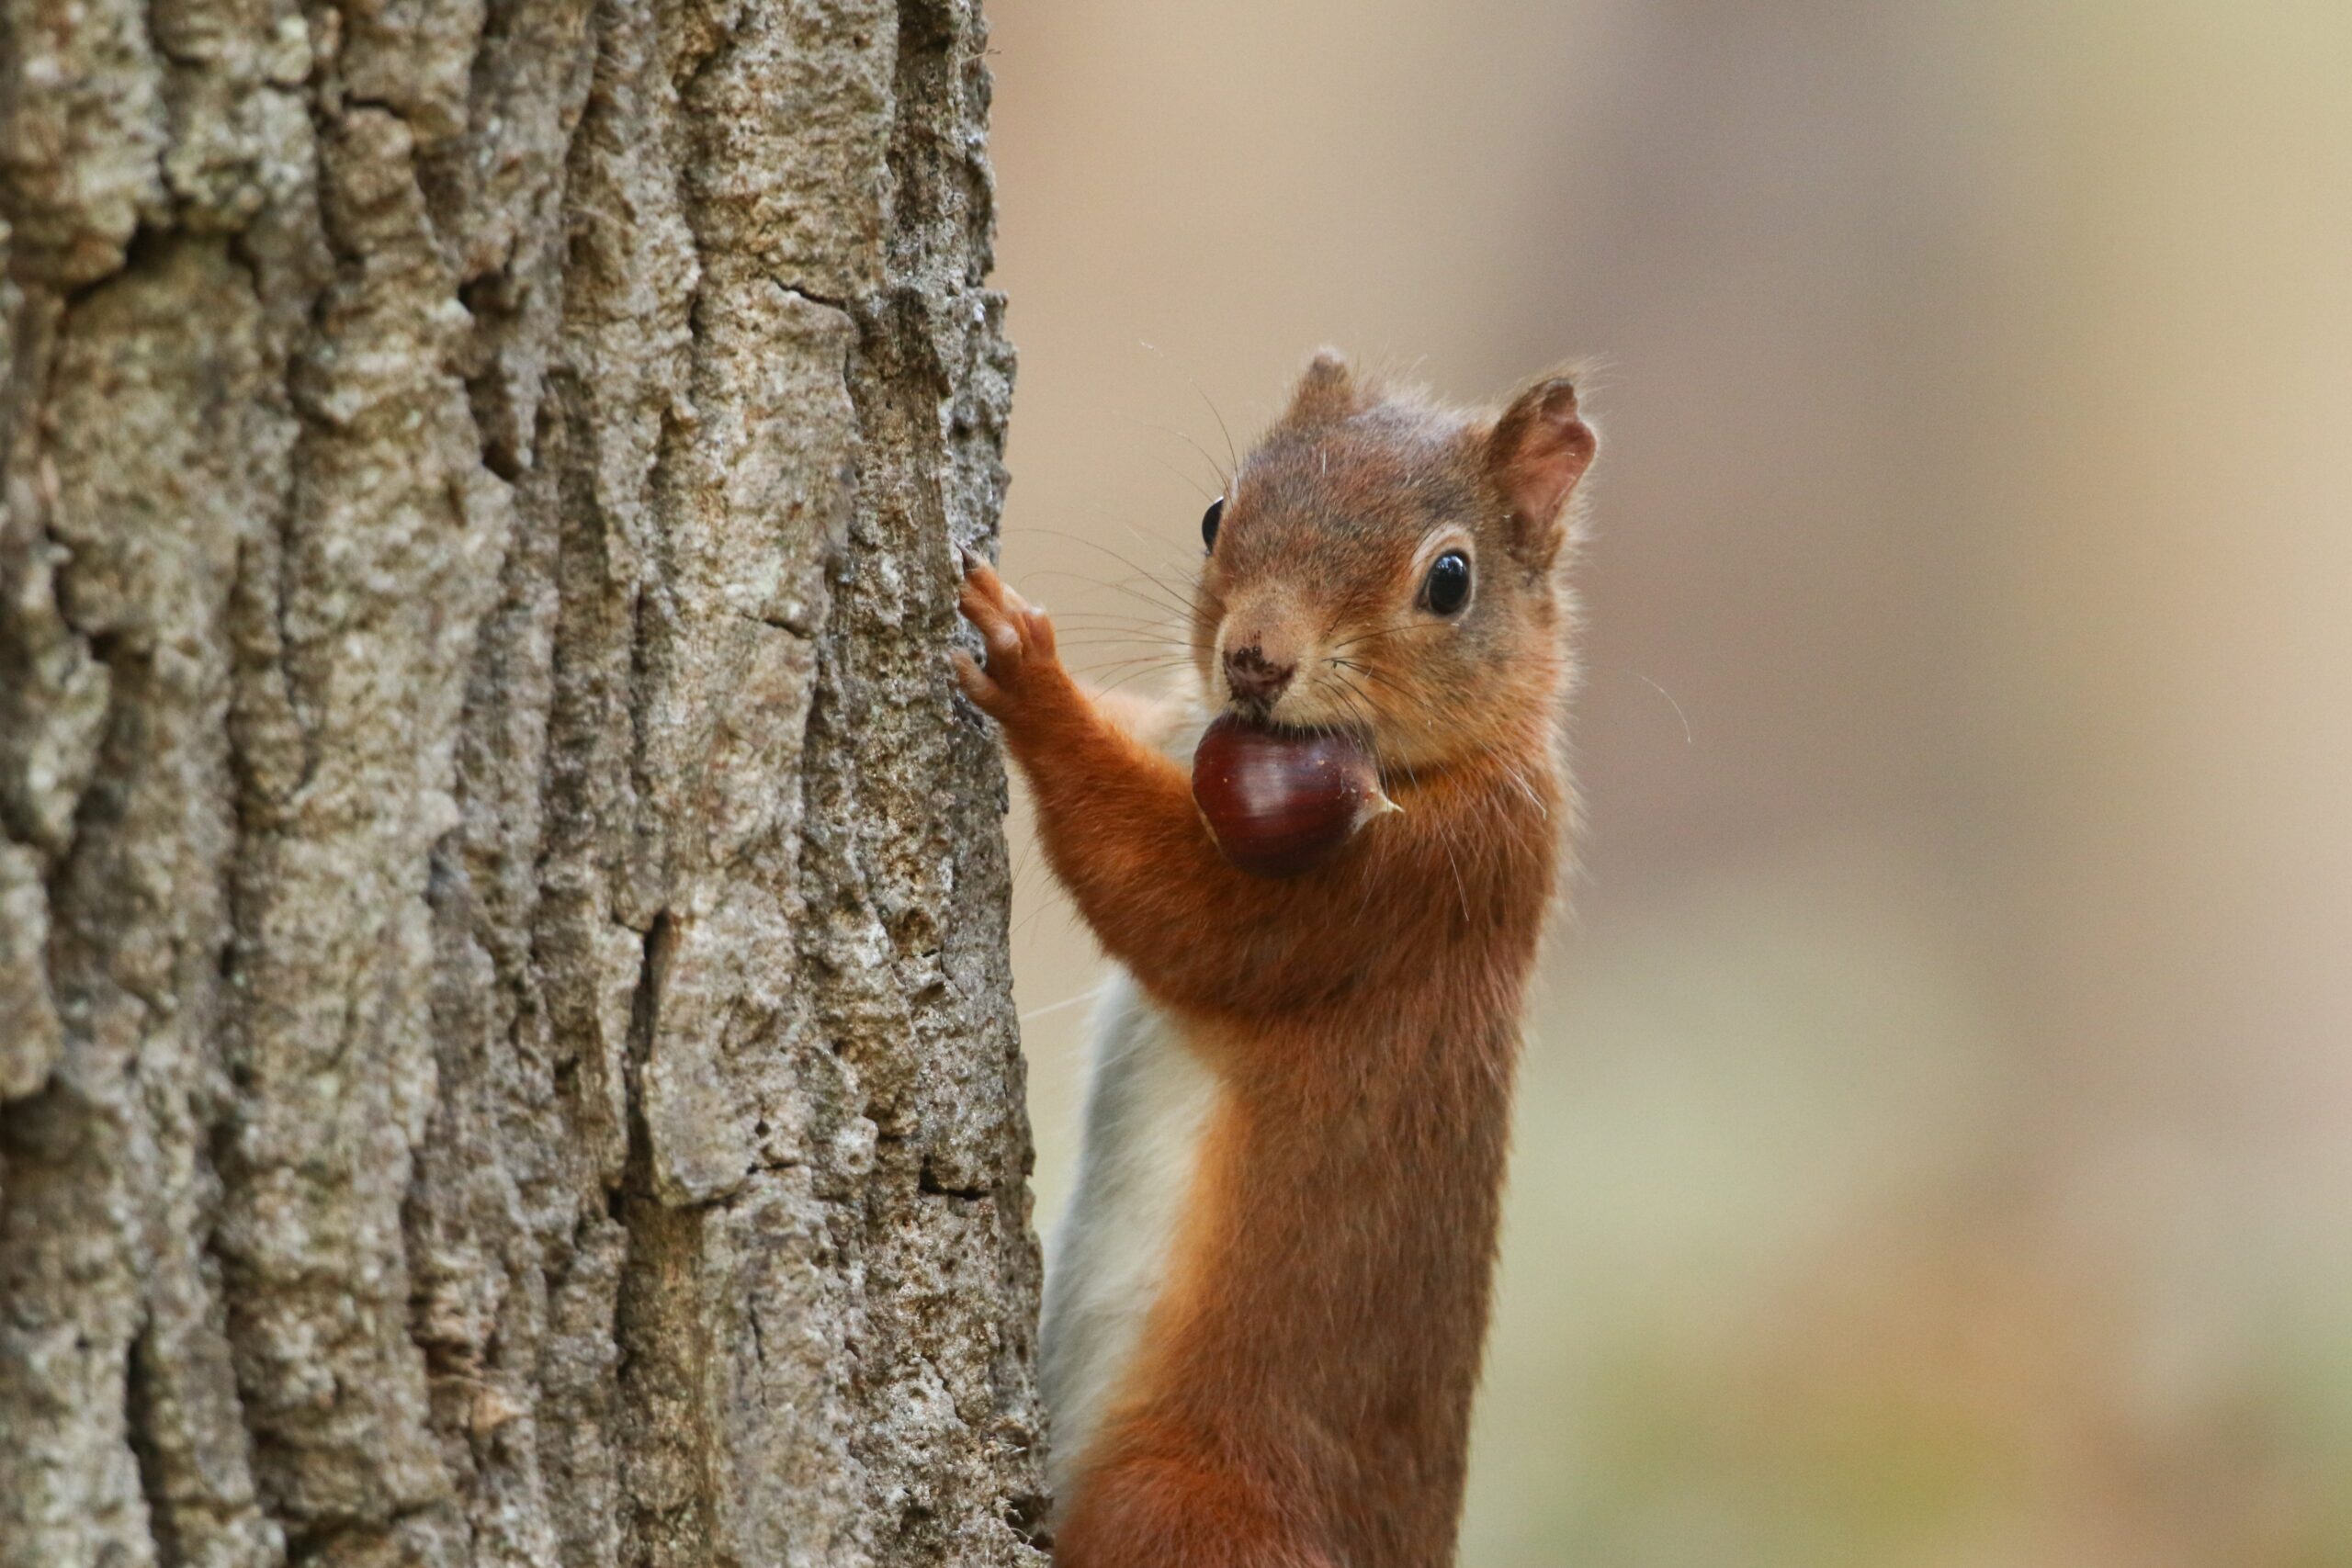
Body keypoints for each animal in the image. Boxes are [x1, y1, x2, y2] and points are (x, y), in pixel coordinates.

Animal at [954, 351, 1596, 1568]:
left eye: (1450, 580)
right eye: (1218, 515)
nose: (1253, 660)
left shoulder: (1410, 886)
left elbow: (1187, 916)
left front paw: (1031, 679)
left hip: (1178, 1505)